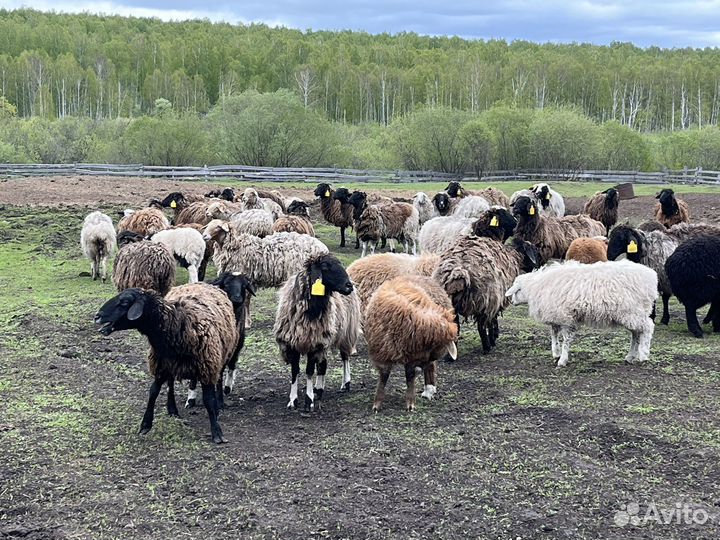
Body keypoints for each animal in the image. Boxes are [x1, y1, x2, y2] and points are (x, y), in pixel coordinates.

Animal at [95, 283, 239, 444]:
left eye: (125, 302)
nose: (97, 316)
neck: (179, 324)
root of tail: (202, 283)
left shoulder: (207, 367)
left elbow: (208, 400)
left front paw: (217, 432)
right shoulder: (161, 366)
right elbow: (153, 392)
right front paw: (145, 424)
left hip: (222, 354)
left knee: (218, 378)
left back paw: (219, 405)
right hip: (173, 366)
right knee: (170, 384)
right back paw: (173, 409)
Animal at [273, 254, 361, 411]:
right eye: (325, 267)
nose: (349, 286)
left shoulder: (314, 344)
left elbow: (309, 371)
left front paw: (309, 401)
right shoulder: (294, 343)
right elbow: (295, 371)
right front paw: (293, 400)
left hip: (345, 333)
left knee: (345, 357)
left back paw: (346, 383)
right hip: (326, 337)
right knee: (323, 365)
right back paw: (318, 389)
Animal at [365, 275, 458, 412]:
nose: (421, 367)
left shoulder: (413, 356)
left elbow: (410, 377)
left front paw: (410, 403)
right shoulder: (382, 353)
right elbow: (383, 377)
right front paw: (377, 404)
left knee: (428, 369)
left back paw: (429, 389)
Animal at [433, 208, 539, 353]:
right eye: (504, 214)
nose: (516, 225)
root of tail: (458, 272)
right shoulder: (496, 298)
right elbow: (492, 320)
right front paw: (494, 336)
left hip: (449, 304)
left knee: (456, 327)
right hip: (483, 299)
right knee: (481, 326)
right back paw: (487, 346)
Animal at [505, 260, 658, 367]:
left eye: (516, 291)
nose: (511, 302)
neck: (536, 287)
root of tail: (651, 277)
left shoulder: (566, 318)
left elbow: (566, 339)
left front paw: (562, 360)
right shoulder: (556, 316)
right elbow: (554, 335)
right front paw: (556, 352)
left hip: (632, 311)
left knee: (647, 328)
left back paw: (643, 355)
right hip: (632, 314)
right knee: (636, 333)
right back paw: (630, 356)